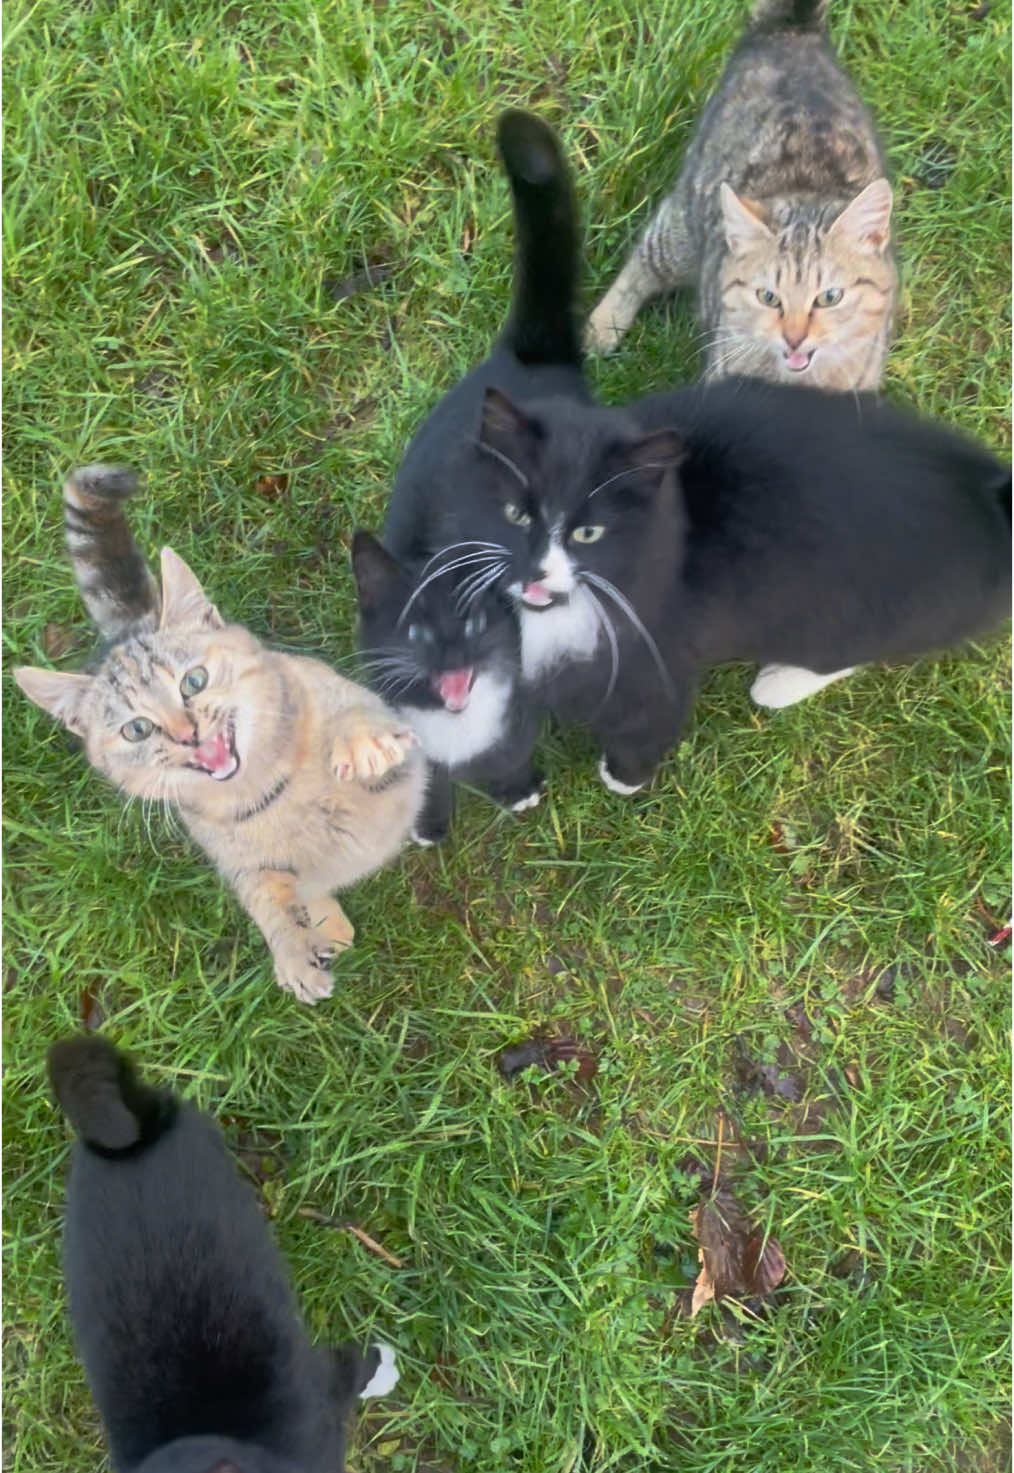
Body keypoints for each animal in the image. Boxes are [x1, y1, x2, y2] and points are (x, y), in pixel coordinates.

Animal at [19, 468, 424, 1001]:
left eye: (193, 681)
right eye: (137, 729)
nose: (186, 734)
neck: (268, 790)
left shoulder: (370, 708)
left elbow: (354, 716)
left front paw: (362, 745)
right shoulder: (238, 861)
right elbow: (265, 895)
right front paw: (294, 948)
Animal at [352, 106, 586, 842]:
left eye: (480, 622)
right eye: (418, 633)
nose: (453, 659)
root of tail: (522, 358)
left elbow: (511, 748)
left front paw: (516, 788)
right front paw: (428, 820)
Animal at [586, 0, 896, 391]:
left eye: (830, 297)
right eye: (768, 297)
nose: (794, 339)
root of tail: (795, 29)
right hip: (683, 227)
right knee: (644, 258)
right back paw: (601, 326)